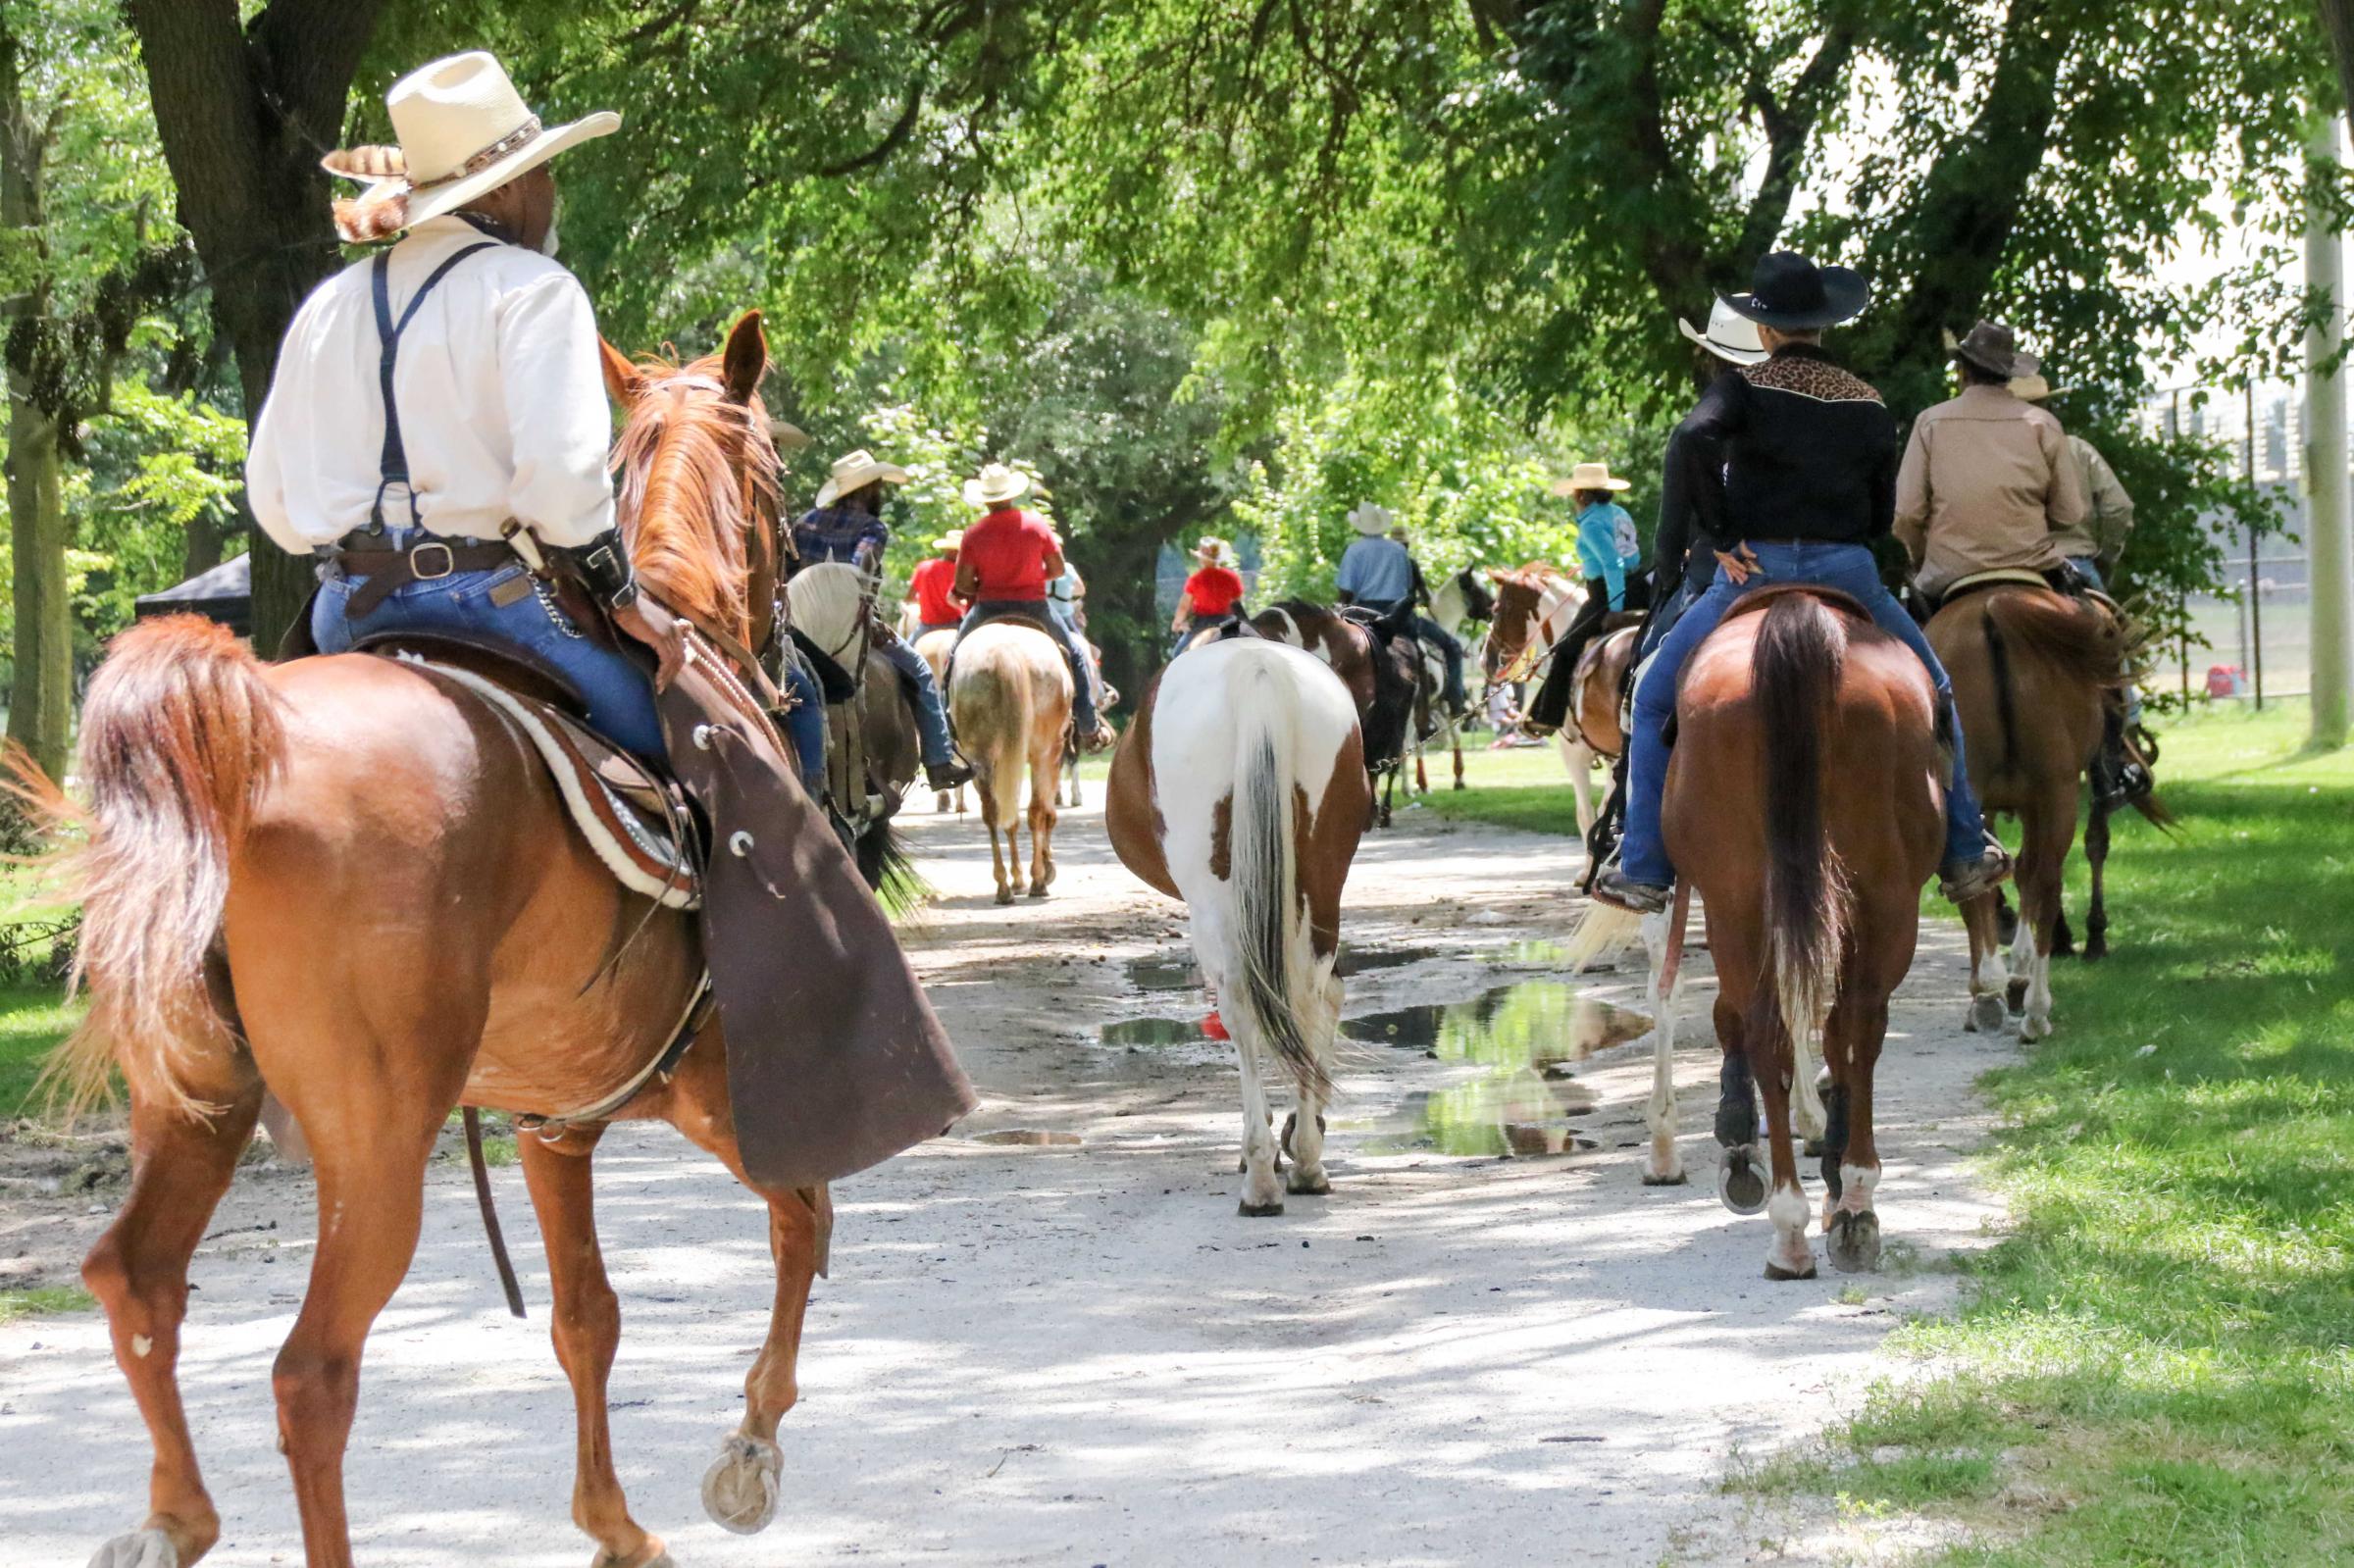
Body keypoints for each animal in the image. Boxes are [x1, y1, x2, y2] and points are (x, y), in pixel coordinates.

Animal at [31, 315, 885, 1563]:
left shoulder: (554, 1120)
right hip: (376, 1144)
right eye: (780, 472)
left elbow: (587, 1315)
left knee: (138, 1282)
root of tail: (240, 751)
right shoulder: (712, 1084)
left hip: (194, 1101)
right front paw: (750, 1452)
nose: (804, 666)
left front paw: (616, 1523)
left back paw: (173, 1518)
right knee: (312, 1374)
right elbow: (803, 1219)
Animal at [946, 612, 1078, 899]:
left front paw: (1019, 877)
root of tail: (1005, 653)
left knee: (993, 811)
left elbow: (1010, 816)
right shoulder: (1054, 754)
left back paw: (1004, 886)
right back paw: (1037, 880)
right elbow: (1048, 812)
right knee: (1036, 810)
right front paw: (1046, 868)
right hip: (1042, 751)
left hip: (981, 755)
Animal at [1106, 635, 1374, 1205]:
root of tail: (1258, 667)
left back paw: (1260, 1176)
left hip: (1216, 901)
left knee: (1241, 1004)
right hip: (1323, 882)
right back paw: (1308, 1162)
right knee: (1310, 996)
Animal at [1601, 585, 1949, 1271]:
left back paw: (1796, 1218)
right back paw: (1847, 1206)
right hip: (1881, 898)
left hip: (1746, 896)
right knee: (1850, 1024)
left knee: (1784, 1025)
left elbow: (1733, 1015)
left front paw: (1741, 1142)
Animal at [1920, 579, 2156, 1031]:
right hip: (2055, 792)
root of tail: (1993, 612)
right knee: (2043, 877)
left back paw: (1996, 992)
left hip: (1991, 786)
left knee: (1987, 879)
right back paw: (2028, 1000)